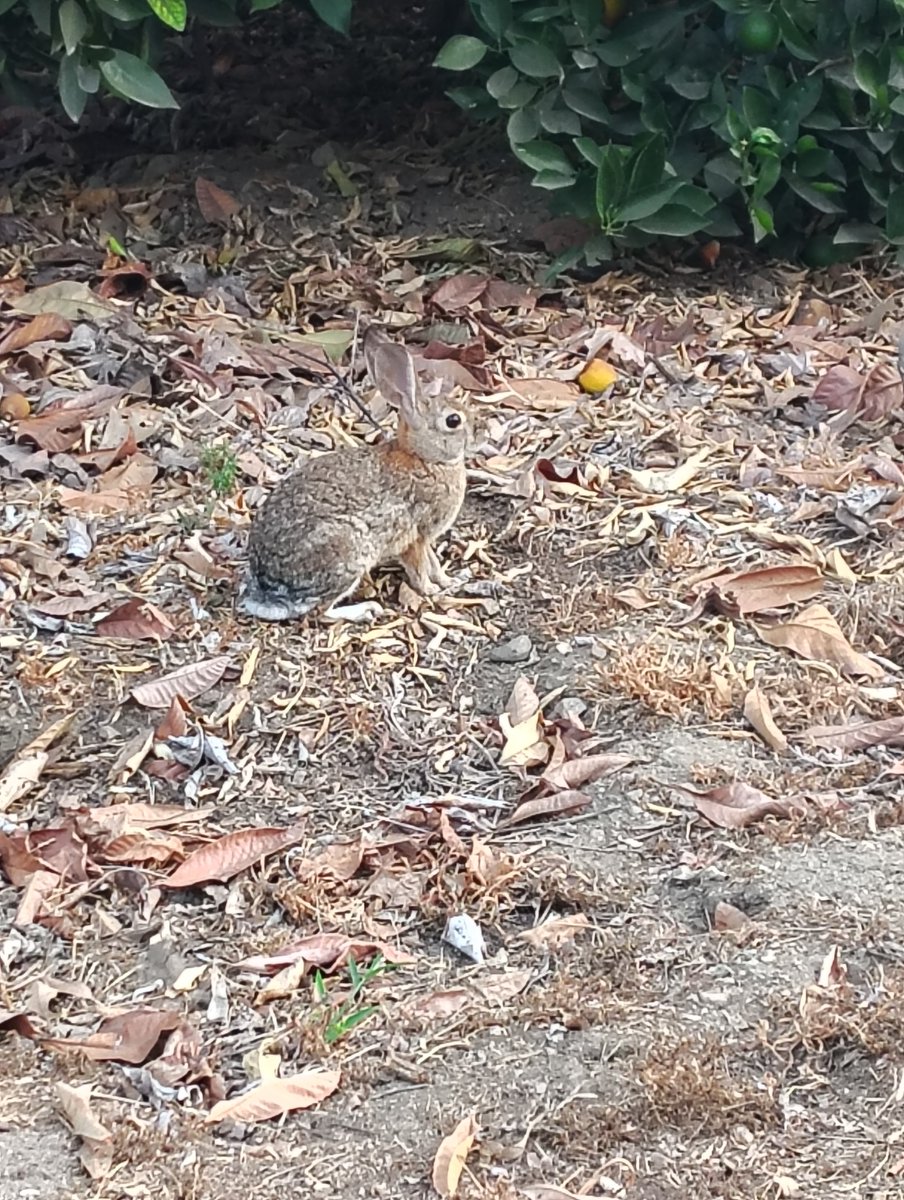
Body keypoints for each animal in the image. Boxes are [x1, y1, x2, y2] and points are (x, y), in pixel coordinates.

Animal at [237, 329, 471, 622]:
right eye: (453, 421)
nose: (478, 433)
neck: (426, 459)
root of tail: (269, 588)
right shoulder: (416, 535)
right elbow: (419, 567)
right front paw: (431, 589)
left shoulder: (425, 538)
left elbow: (434, 562)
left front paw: (449, 580)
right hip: (347, 552)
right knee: (321, 612)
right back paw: (367, 609)